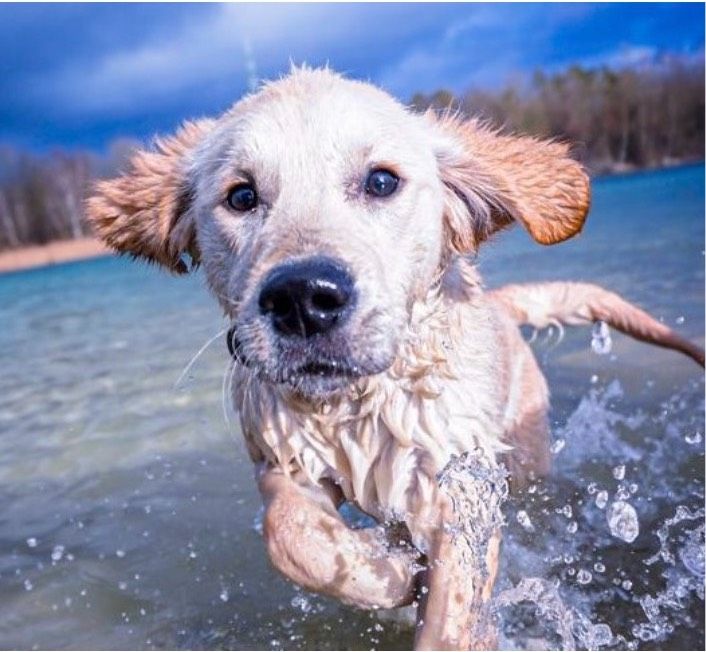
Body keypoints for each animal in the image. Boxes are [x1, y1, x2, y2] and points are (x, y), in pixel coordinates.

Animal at [85, 67, 700, 652]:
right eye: (241, 196)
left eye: (381, 181)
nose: (302, 299)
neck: (354, 408)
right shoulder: (280, 455)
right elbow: (288, 535)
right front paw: (392, 572)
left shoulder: (459, 487)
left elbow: (452, 618)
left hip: (527, 454)